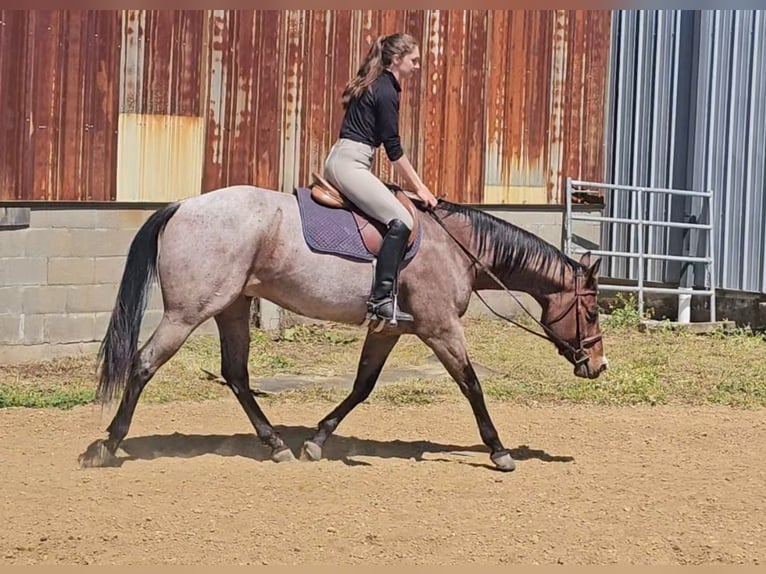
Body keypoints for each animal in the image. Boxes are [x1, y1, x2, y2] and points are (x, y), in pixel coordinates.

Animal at [76, 182, 608, 474]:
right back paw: (106, 446)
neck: (456, 247)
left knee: (237, 375)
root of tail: (183, 205)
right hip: (187, 313)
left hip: (232, 308)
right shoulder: (440, 328)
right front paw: (499, 451)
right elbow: (472, 385)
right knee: (144, 365)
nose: (598, 365)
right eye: (593, 312)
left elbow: (362, 386)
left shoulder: (389, 330)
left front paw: (317, 440)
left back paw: (276, 446)